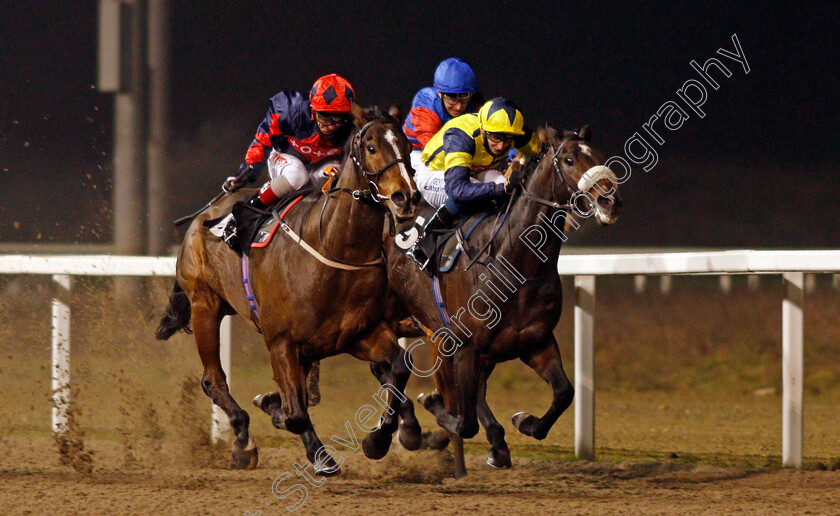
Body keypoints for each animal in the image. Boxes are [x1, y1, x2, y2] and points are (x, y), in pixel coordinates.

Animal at [157, 107, 424, 474]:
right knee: (213, 379)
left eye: (407, 147)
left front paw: (380, 439)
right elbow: (297, 413)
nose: (406, 197)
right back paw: (243, 441)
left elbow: (398, 367)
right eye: (371, 147)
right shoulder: (281, 341)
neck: (333, 247)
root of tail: (203, 217)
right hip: (204, 306)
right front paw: (319, 454)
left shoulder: (359, 334)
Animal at [384, 125, 620, 476]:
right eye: (568, 159)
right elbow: (464, 421)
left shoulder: (535, 341)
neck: (515, 260)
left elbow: (564, 392)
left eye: (600, 156)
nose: (610, 202)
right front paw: (432, 408)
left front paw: (525, 422)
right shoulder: (465, 345)